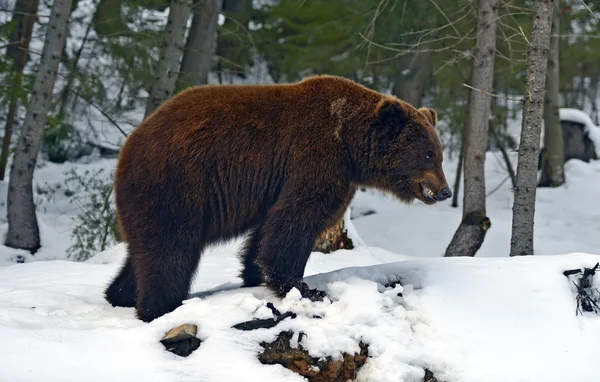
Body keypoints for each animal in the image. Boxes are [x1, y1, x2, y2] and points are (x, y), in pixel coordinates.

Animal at [105, 74, 450, 322]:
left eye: (439, 154)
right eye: (428, 154)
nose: (445, 190)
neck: (350, 144)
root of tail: (128, 147)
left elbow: (269, 229)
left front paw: (256, 274)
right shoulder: (315, 157)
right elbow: (297, 218)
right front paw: (302, 287)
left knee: (145, 252)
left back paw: (119, 295)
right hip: (177, 185)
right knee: (171, 250)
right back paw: (160, 308)